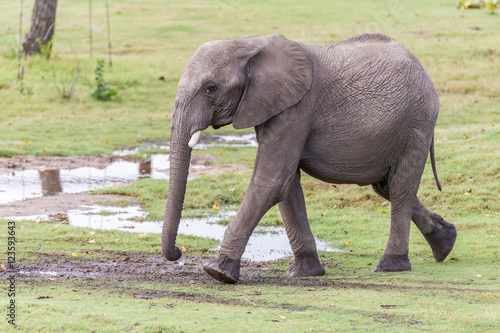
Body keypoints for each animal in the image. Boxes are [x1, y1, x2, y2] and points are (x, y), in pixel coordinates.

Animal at [163, 33, 458, 282]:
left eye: (210, 88)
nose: (178, 251)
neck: (247, 43)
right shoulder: (275, 107)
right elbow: (287, 186)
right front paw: (305, 273)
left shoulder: (295, 109)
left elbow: (272, 181)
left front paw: (219, 272)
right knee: (385, 185)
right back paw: (446, 244)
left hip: (417, 121)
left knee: (399, 187)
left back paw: (390, 266)